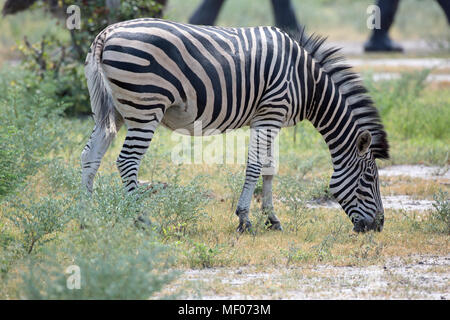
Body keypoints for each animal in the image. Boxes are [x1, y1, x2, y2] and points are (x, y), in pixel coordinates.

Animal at [81, 18, 390, 232]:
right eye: (369, 179)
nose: (378, 226)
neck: (307, 83)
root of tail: (106, 33)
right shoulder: (270, 112)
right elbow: (255, 166)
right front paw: (245, 220)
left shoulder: (271, 117)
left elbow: (270, 167)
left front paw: (272, 219)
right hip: (146, 107)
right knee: (127, 161)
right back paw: (142, 219)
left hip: (112, 111)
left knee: (90, 156)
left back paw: (88, 215)